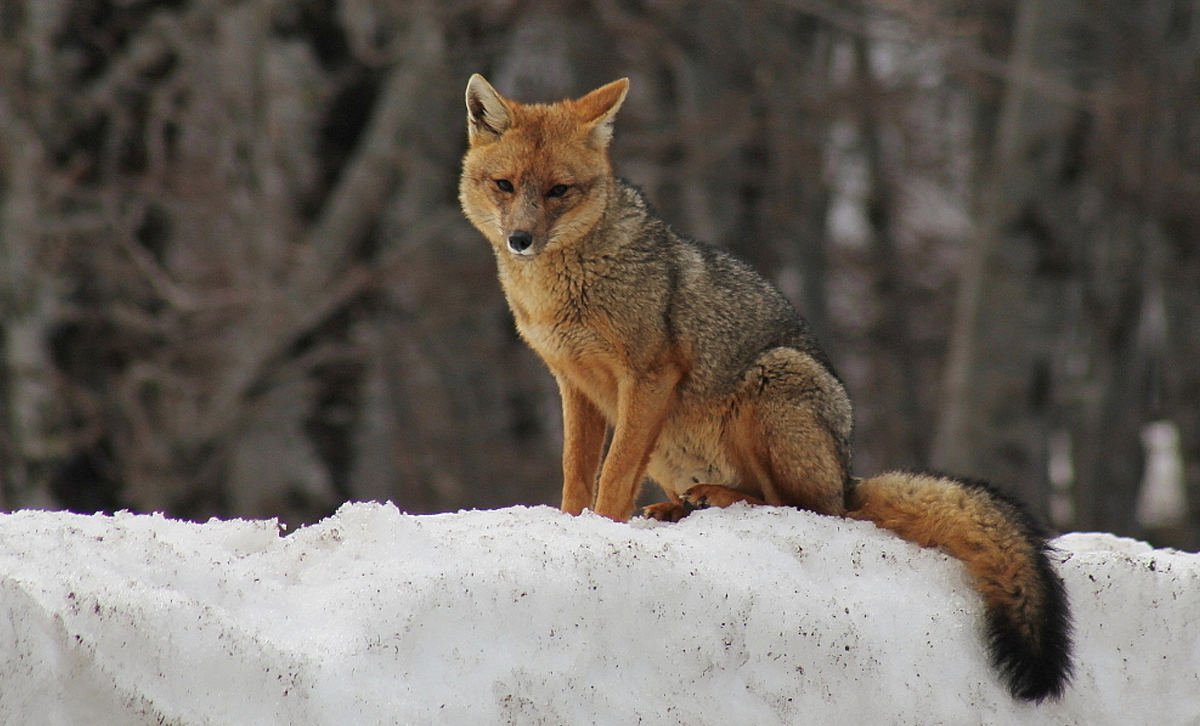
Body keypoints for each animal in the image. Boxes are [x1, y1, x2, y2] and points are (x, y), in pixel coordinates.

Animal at [458, 74, 1073, 702]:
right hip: (677, 449)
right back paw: (681, 507)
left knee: (805, 509)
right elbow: (577, 473)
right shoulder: (575, 384)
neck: (558, 292)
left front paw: (603, 532)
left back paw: (719, 500)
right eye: (506, 185)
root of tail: (849, 475)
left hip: (772, 385)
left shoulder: (649, 375)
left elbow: (613, 473)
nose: (521, 239)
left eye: (559, 190)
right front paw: (571, 527)